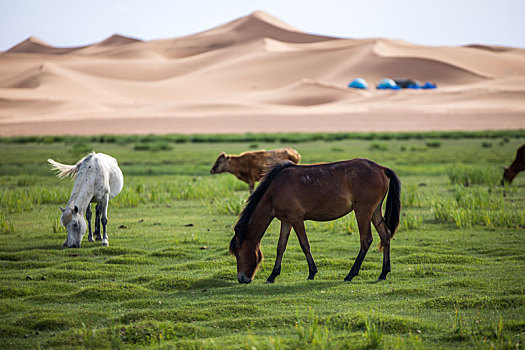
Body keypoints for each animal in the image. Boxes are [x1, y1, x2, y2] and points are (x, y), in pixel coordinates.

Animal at [229, 159, 402, 284]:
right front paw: (272, 276)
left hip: (363, 211)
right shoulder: (286, 221)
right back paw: (383, 273)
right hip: (375, 211)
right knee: (385, 235)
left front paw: (312, 272)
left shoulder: (296, 219)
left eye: (238, 253)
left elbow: (304, 244)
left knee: (366, 240)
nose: (242, 279)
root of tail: (382, 168)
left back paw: (350, 274)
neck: (275, 190)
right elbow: (280, 247)